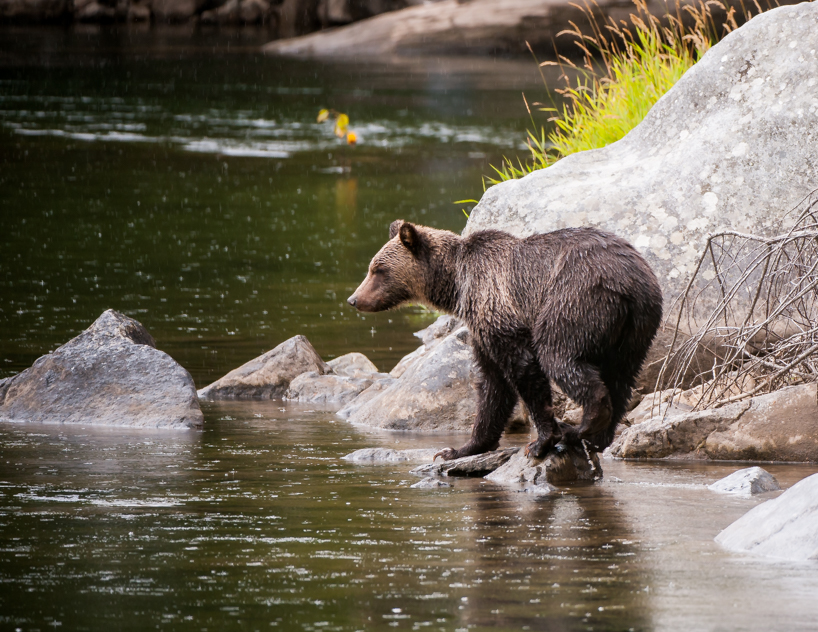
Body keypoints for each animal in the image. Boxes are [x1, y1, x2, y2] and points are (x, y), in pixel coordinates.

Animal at [348, 220, 663, 461]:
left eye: (379, 270)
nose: (354, 299)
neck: (457, 285)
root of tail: (630, 282)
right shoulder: (480, 330)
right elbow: (492, 385)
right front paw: (458, 449)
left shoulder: (497, 307)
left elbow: (523, 370)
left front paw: (541, 441)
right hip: (637, 328)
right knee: (621, 378)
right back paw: (598, 437)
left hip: (575, 300)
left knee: (560, 356)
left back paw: (579, 428)